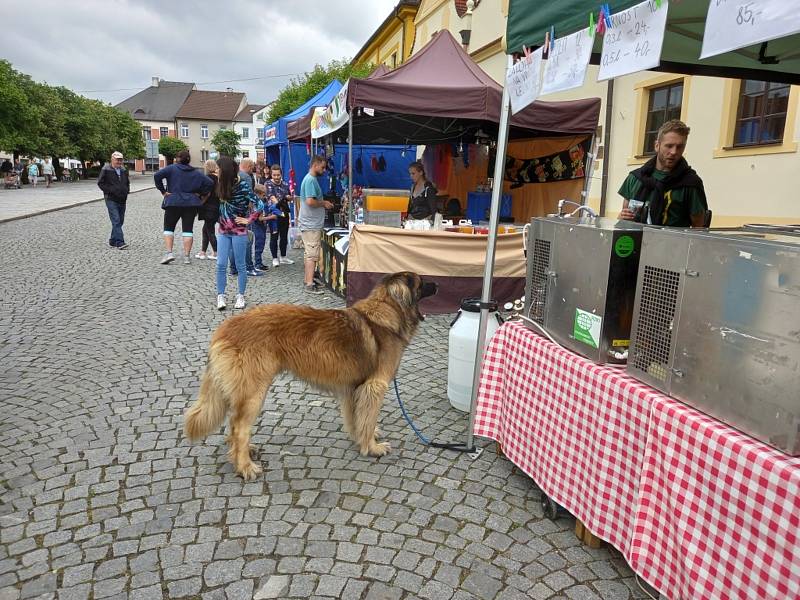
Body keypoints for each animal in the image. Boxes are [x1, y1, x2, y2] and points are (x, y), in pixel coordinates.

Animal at [185, 270, 438, 478]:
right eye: (422, 281)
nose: (438, 284)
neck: (388, 312)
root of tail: (223, 329)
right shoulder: (374, 386)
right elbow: (368, 418)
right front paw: (372, 447)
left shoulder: (353, 388)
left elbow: (357, 418)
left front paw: (361, 438)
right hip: (254, 392)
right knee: (239, 427)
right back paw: (245, 466)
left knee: (233, 422)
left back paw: (244, 453)